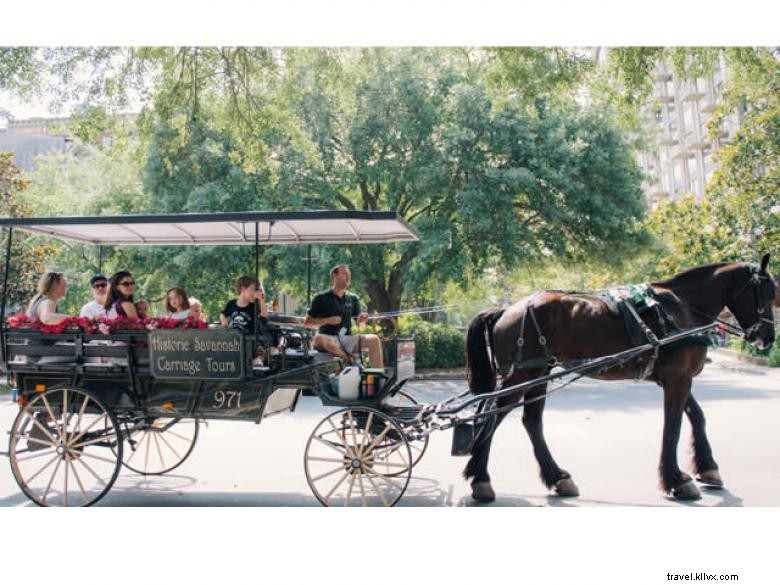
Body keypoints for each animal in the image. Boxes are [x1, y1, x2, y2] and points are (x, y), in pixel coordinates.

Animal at [464, 253, 772, 500]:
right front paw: (676, 480)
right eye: (769, 294)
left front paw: (707, 468)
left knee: (531, 421)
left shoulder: (677, 377)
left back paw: (557, 477)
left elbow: (697, 416)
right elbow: (673, 426)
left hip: (539, 372)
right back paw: (481, 479)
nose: (768, 337)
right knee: (493, 416)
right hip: (523, 374)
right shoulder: (678, 379)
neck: (682, 308)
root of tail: (507, 309)